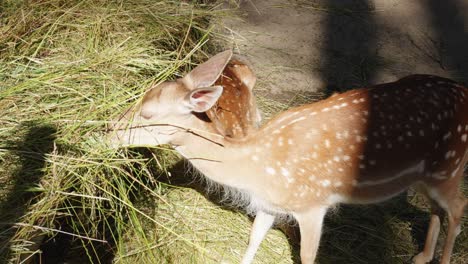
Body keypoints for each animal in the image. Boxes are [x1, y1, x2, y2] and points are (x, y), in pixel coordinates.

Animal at [107, 50, 468, 264]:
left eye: (148, 114)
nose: (108, 130)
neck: (255, 167)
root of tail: (463, 91)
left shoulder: (311, 205)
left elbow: (307, 257)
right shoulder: (269, 204)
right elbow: (253, 239)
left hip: (450, 164)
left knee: (458, 208)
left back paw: (442, 259)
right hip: (425, 175)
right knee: (436, 208)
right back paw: (421, 256)